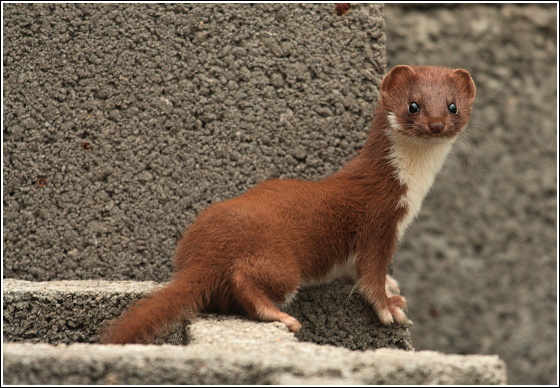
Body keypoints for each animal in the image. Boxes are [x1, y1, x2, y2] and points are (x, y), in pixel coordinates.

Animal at [101, 65, 476, 344]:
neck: (410, 194)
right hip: (281, 261)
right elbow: (369, 273)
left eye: (453, 106)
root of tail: (202, 255)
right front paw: (390, 307)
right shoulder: (378, 222)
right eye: (413, 105)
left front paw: (391, 284)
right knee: (246, 280)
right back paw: (279, 315)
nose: (437, 124)